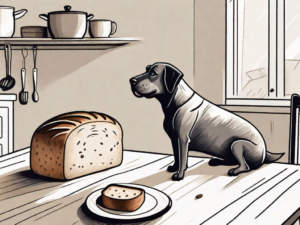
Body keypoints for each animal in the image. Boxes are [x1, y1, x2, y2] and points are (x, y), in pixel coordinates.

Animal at [129, 62, 284, 181]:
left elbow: (182, 158)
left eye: (153, 73)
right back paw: (217, 161)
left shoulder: (183, 139)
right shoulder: (174, 139)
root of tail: (265, 151)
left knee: (246, 166)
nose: (132, 80)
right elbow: (177, 157)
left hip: (237, 144)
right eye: (146, 69)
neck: (176, 102)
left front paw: (179, 175)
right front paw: (174, 167)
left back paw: (234, 170)